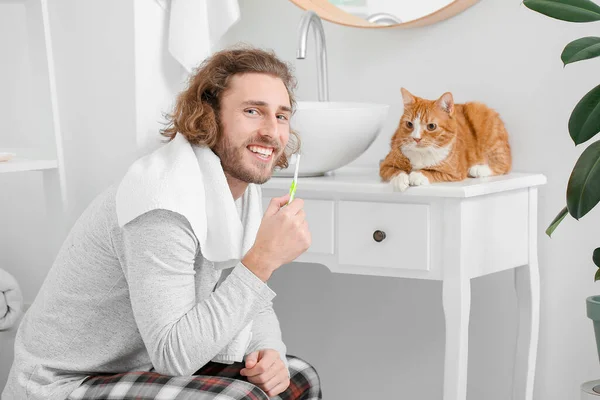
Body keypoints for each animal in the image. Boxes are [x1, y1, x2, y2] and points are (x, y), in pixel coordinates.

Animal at [380, 88, 510, 191]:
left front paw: (417, 175)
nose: (416, 138)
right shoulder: (385, 164)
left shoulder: (454, 173)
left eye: (431, 126)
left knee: (504, 164)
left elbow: (433, 172)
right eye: (409, 124)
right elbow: (394, 171)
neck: (422, 153)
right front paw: (400, 179)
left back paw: (479, 169)